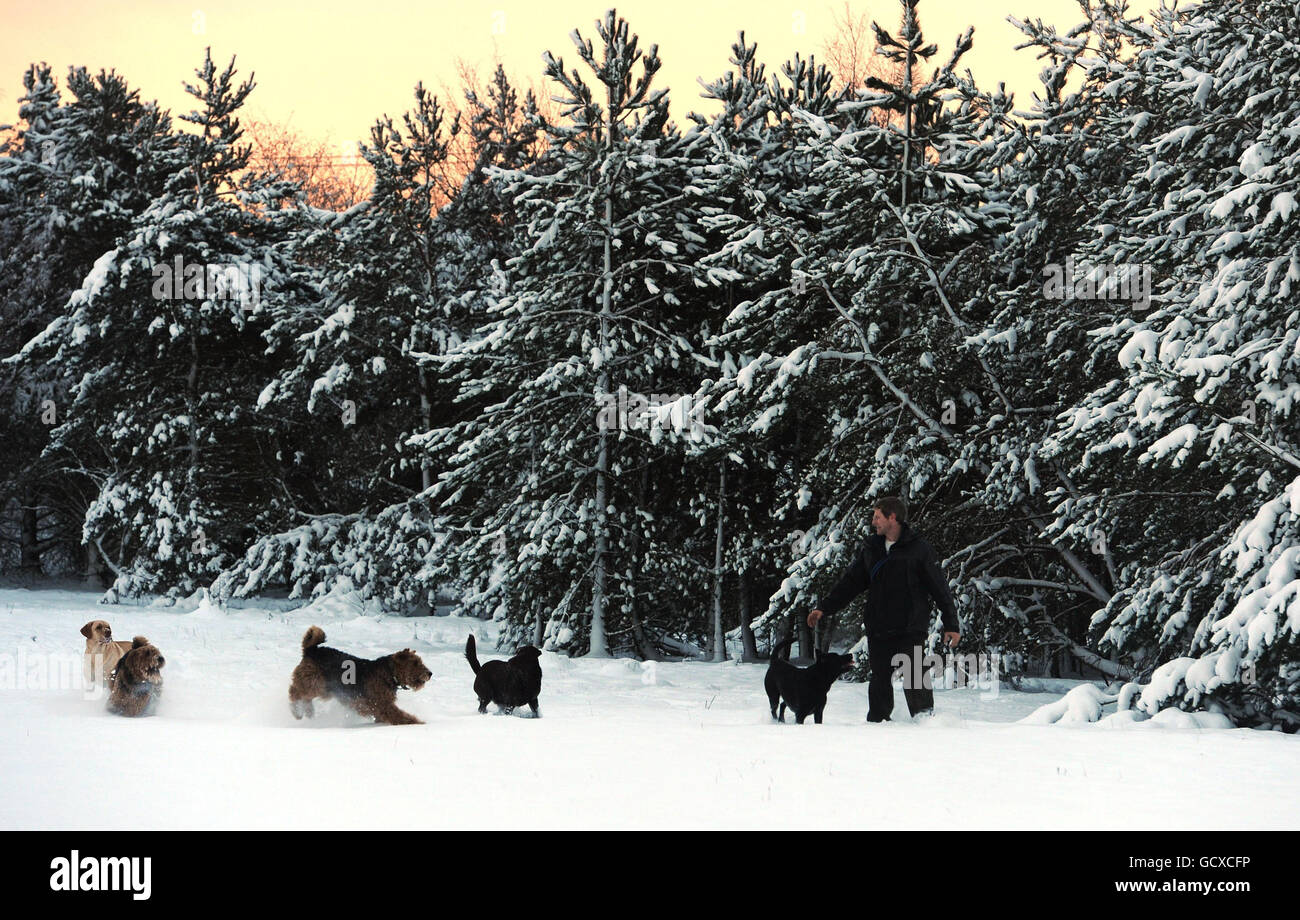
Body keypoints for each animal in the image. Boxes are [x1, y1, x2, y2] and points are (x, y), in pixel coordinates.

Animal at [286, 626, 431, 727]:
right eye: (415, 663)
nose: (430, 673)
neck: (389, 673)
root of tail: (312, 650)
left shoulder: (378, 708)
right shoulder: (383, 705)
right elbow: (400, 716)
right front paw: (418, 723)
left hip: (324, 689)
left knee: (304, 698)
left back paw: (308, 713)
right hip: (315, 683)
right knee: (295, 692)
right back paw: (296, 712)